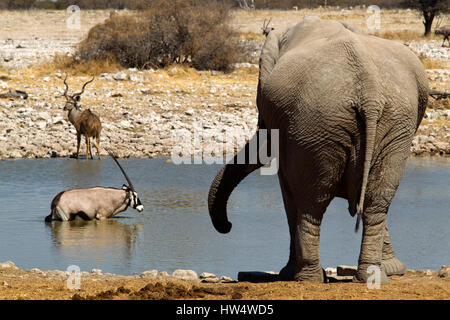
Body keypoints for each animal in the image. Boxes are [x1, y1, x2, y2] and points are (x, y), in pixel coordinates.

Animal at [207, 16, 428, 282]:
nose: (228, 226)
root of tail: (370, 92)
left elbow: (287, 188)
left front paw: (287, 273)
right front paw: (393, 269)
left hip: (317, 123)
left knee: (311, 204)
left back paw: (306, 278)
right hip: (386, 126)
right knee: (376, 201)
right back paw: (369, 278)